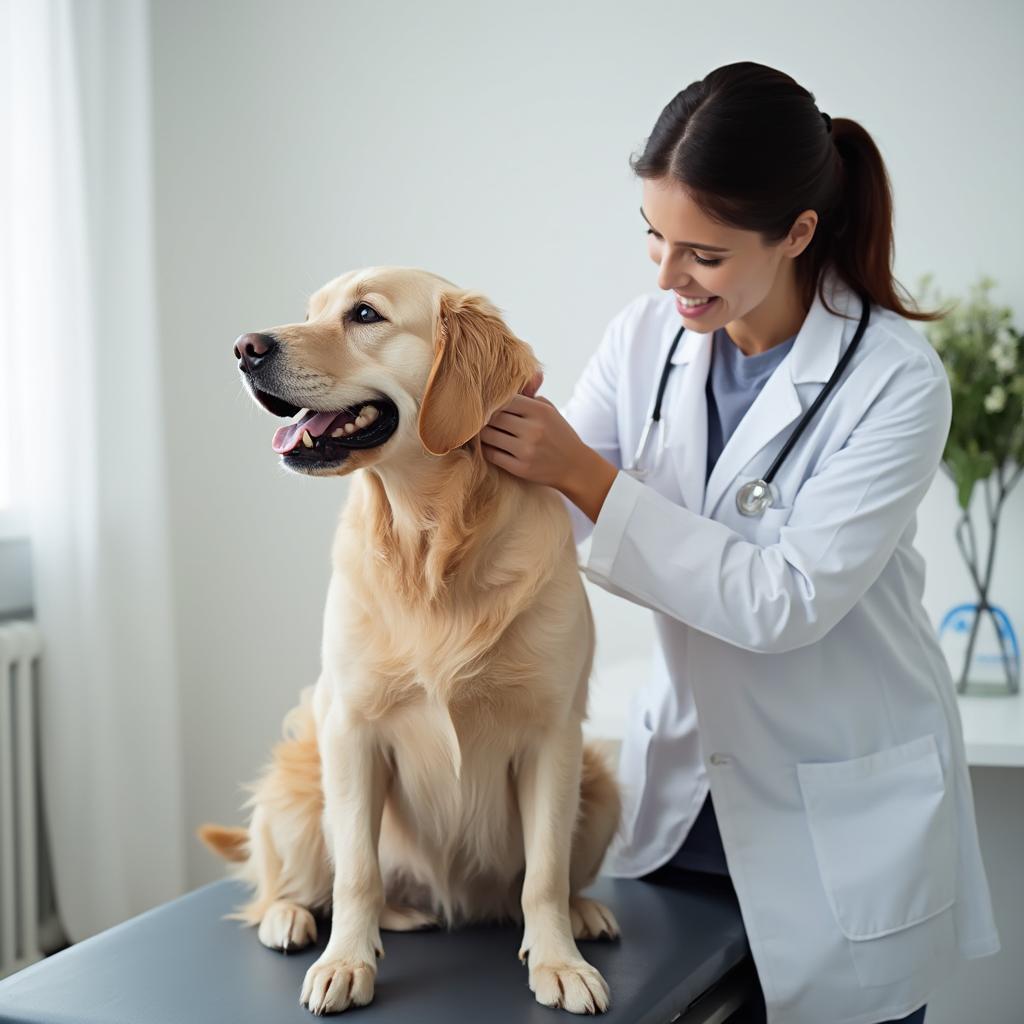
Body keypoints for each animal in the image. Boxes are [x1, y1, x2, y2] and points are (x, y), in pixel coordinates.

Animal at [195, 266, 618, 1015]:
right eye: (311, 311)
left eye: (365, 315)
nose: (245, 348)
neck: (431, 539)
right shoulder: (352, 730)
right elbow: (357, 873)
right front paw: (346, 963)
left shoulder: (555, 736)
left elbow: (544, 872)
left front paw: (559, 961)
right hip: (299, 786)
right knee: (291, 883)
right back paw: (293, 916)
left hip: (599, 782)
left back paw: (580, 912)